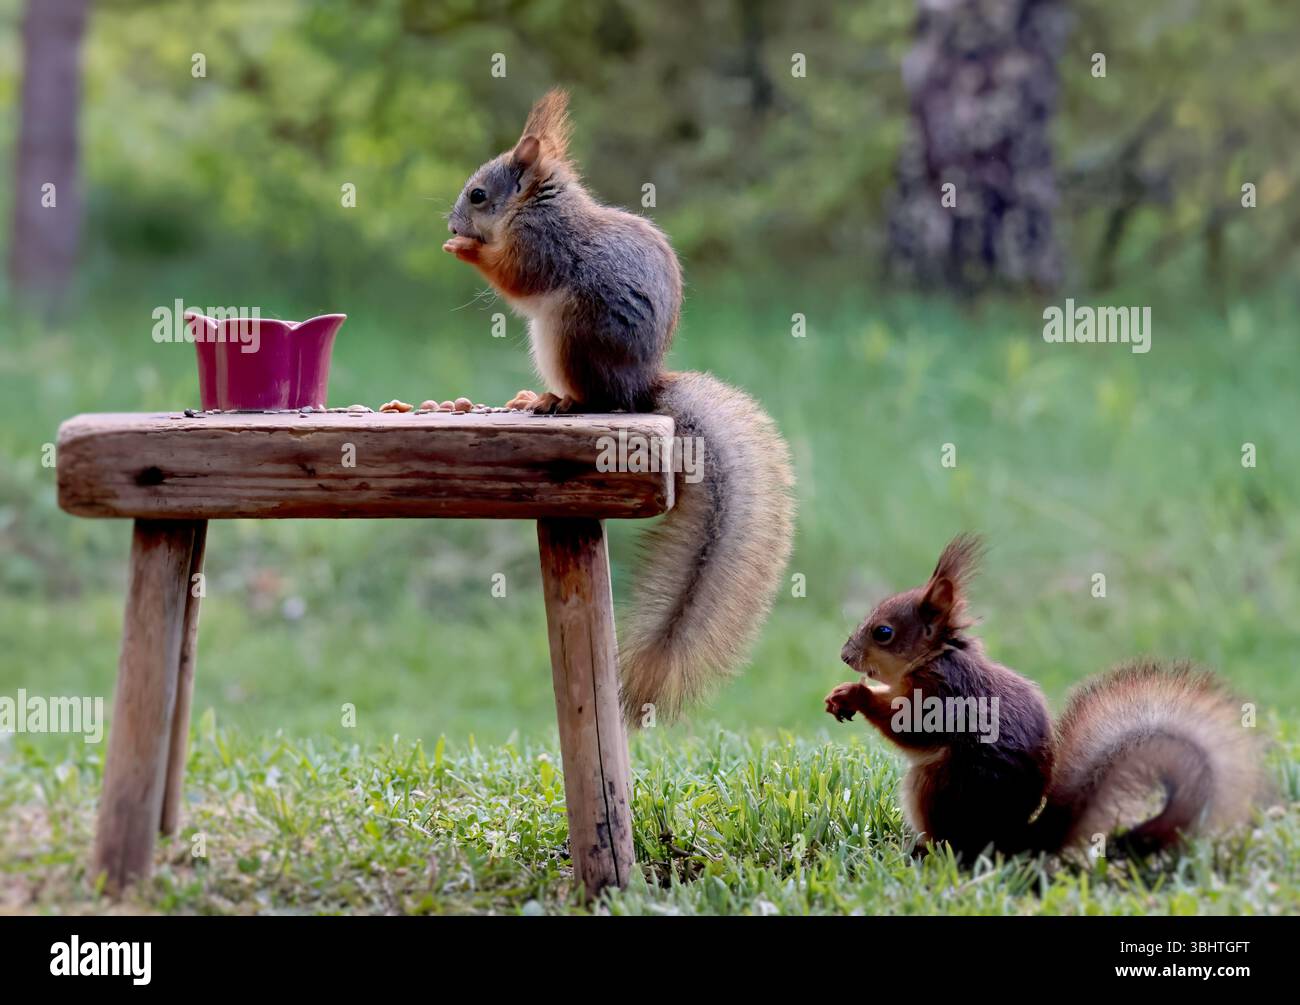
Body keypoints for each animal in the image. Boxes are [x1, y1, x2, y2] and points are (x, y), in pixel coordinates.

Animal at [443, 89, 796, 725]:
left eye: (479, 194)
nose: (452, 223)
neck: (535, 206)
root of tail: (642, 390)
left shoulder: (540, 245)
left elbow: (515, 276)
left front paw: (465, 249)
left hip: (569, 337)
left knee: (594, 397)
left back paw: (556, 399)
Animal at [826, 534, 1265, 862]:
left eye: (883, 632)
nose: (845, 656)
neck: (934, 656)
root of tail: (1009, 840)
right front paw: (840, 696)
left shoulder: (945, 692)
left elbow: (913, 728)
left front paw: (857, 694)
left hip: (933, 786)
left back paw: (926, 848)